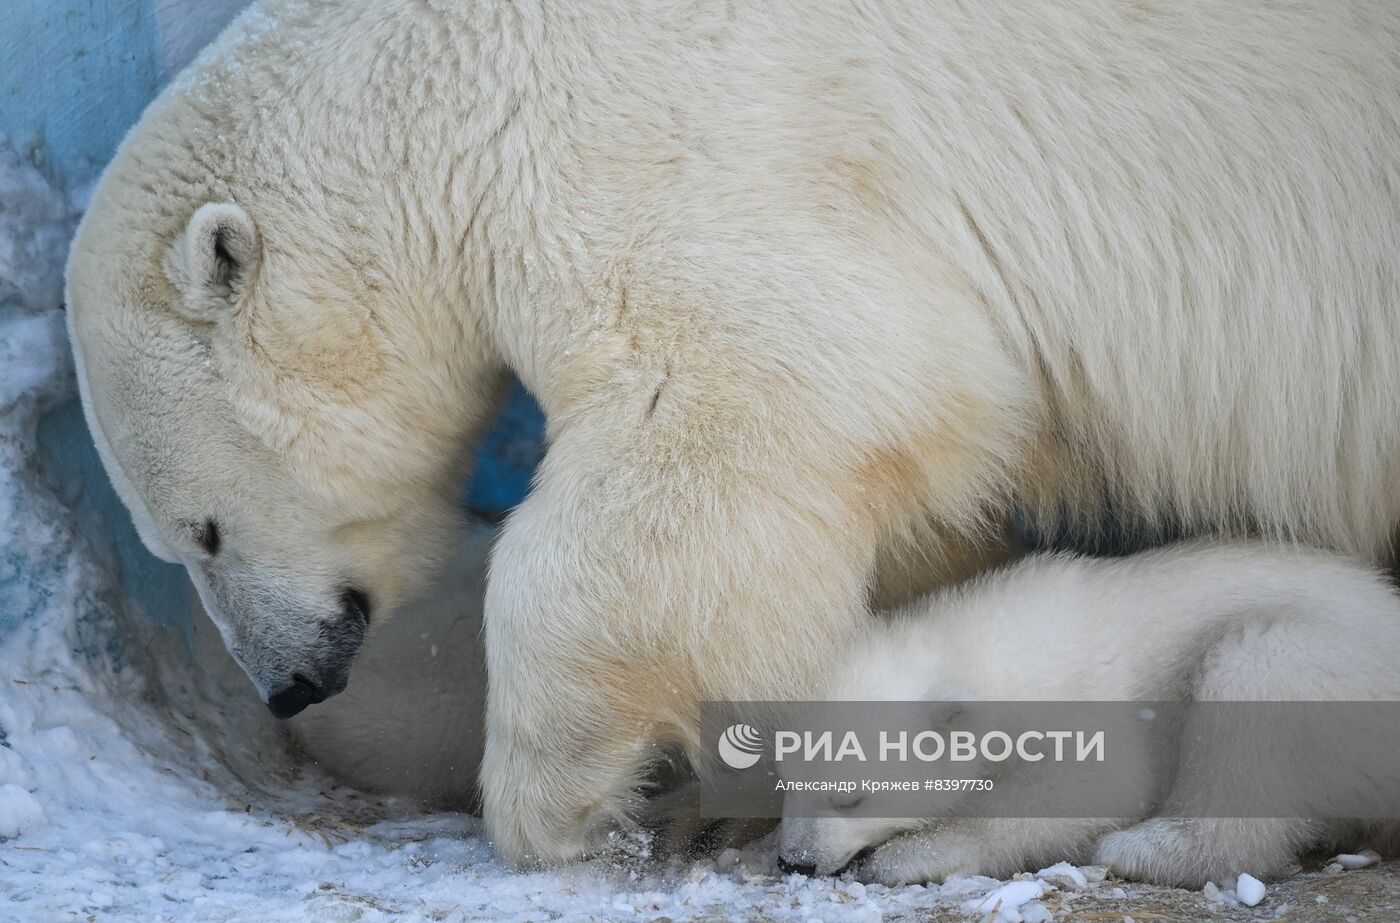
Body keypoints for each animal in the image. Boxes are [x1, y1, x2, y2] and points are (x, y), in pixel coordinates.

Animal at [71, 0, 1400, 868]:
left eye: (200, 527)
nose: (290, 682)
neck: (433, 87)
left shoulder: (665, 142)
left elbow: (742, 402)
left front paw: (569, 800)